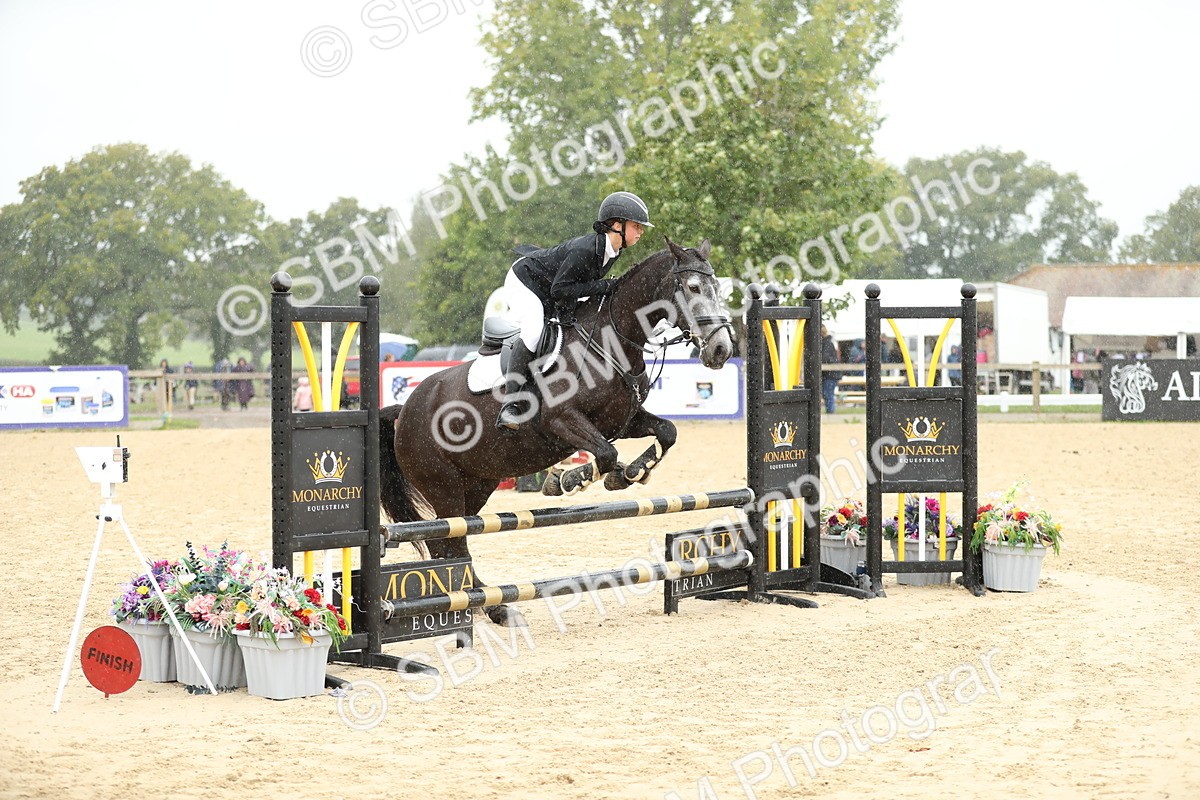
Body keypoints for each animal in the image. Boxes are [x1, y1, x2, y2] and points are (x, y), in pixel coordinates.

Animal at [378, 236, 735, 626]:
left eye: (718, 289)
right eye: (693, 287)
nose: (721, 350)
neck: (611, 340)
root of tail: (404, 410)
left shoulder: (623, 421)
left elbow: (666, 432)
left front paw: (630, 473)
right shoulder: (561, 421)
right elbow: (605, 454)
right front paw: (569, 480)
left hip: (475, 485)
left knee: (450, 543)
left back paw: (492, 607)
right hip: (443, 487)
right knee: (451, 543)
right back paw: (489, 607)